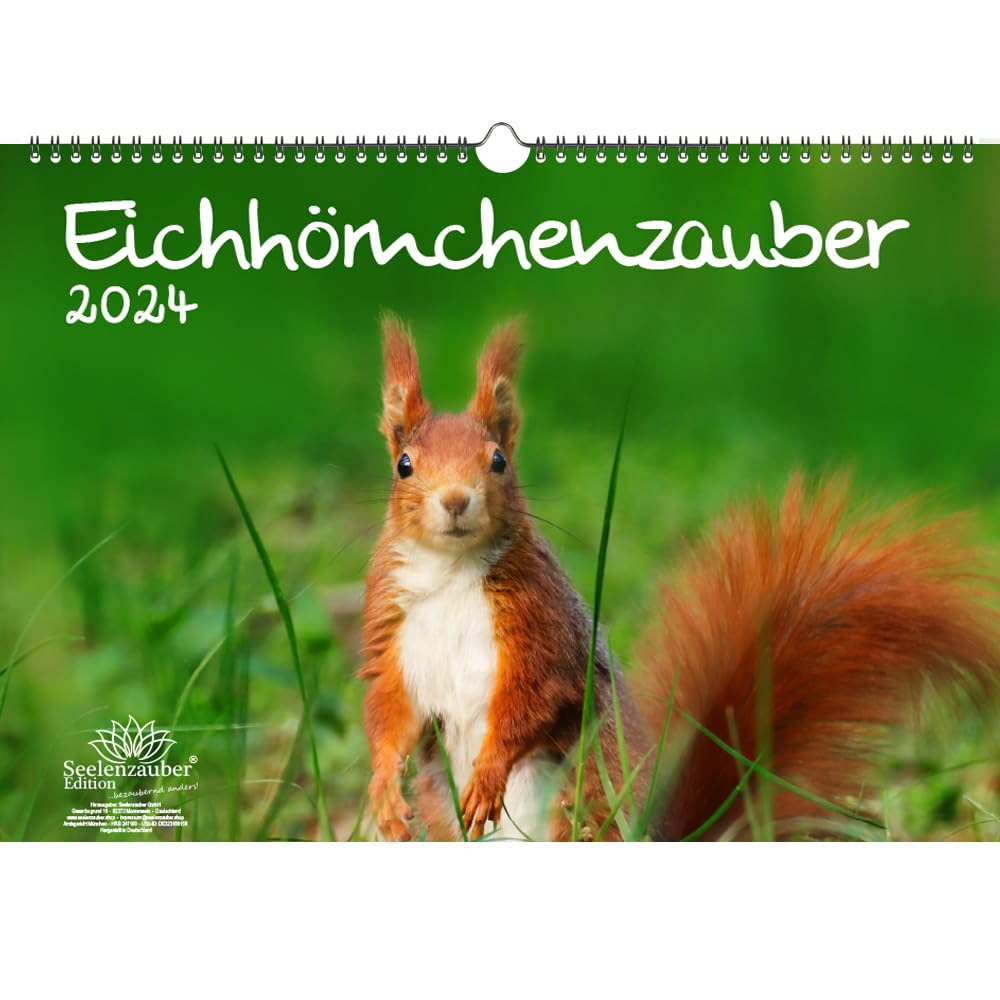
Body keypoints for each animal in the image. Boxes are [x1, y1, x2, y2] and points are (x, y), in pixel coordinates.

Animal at [360, 315, 1000, 841]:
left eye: (498, 461)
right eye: (404, 465)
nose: (455, 500)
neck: (452, 571)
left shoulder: (540, 624)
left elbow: (533, 699)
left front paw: (487, 776)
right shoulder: (393, 632)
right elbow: (391, 713)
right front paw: (384, 796)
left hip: (586, 806)